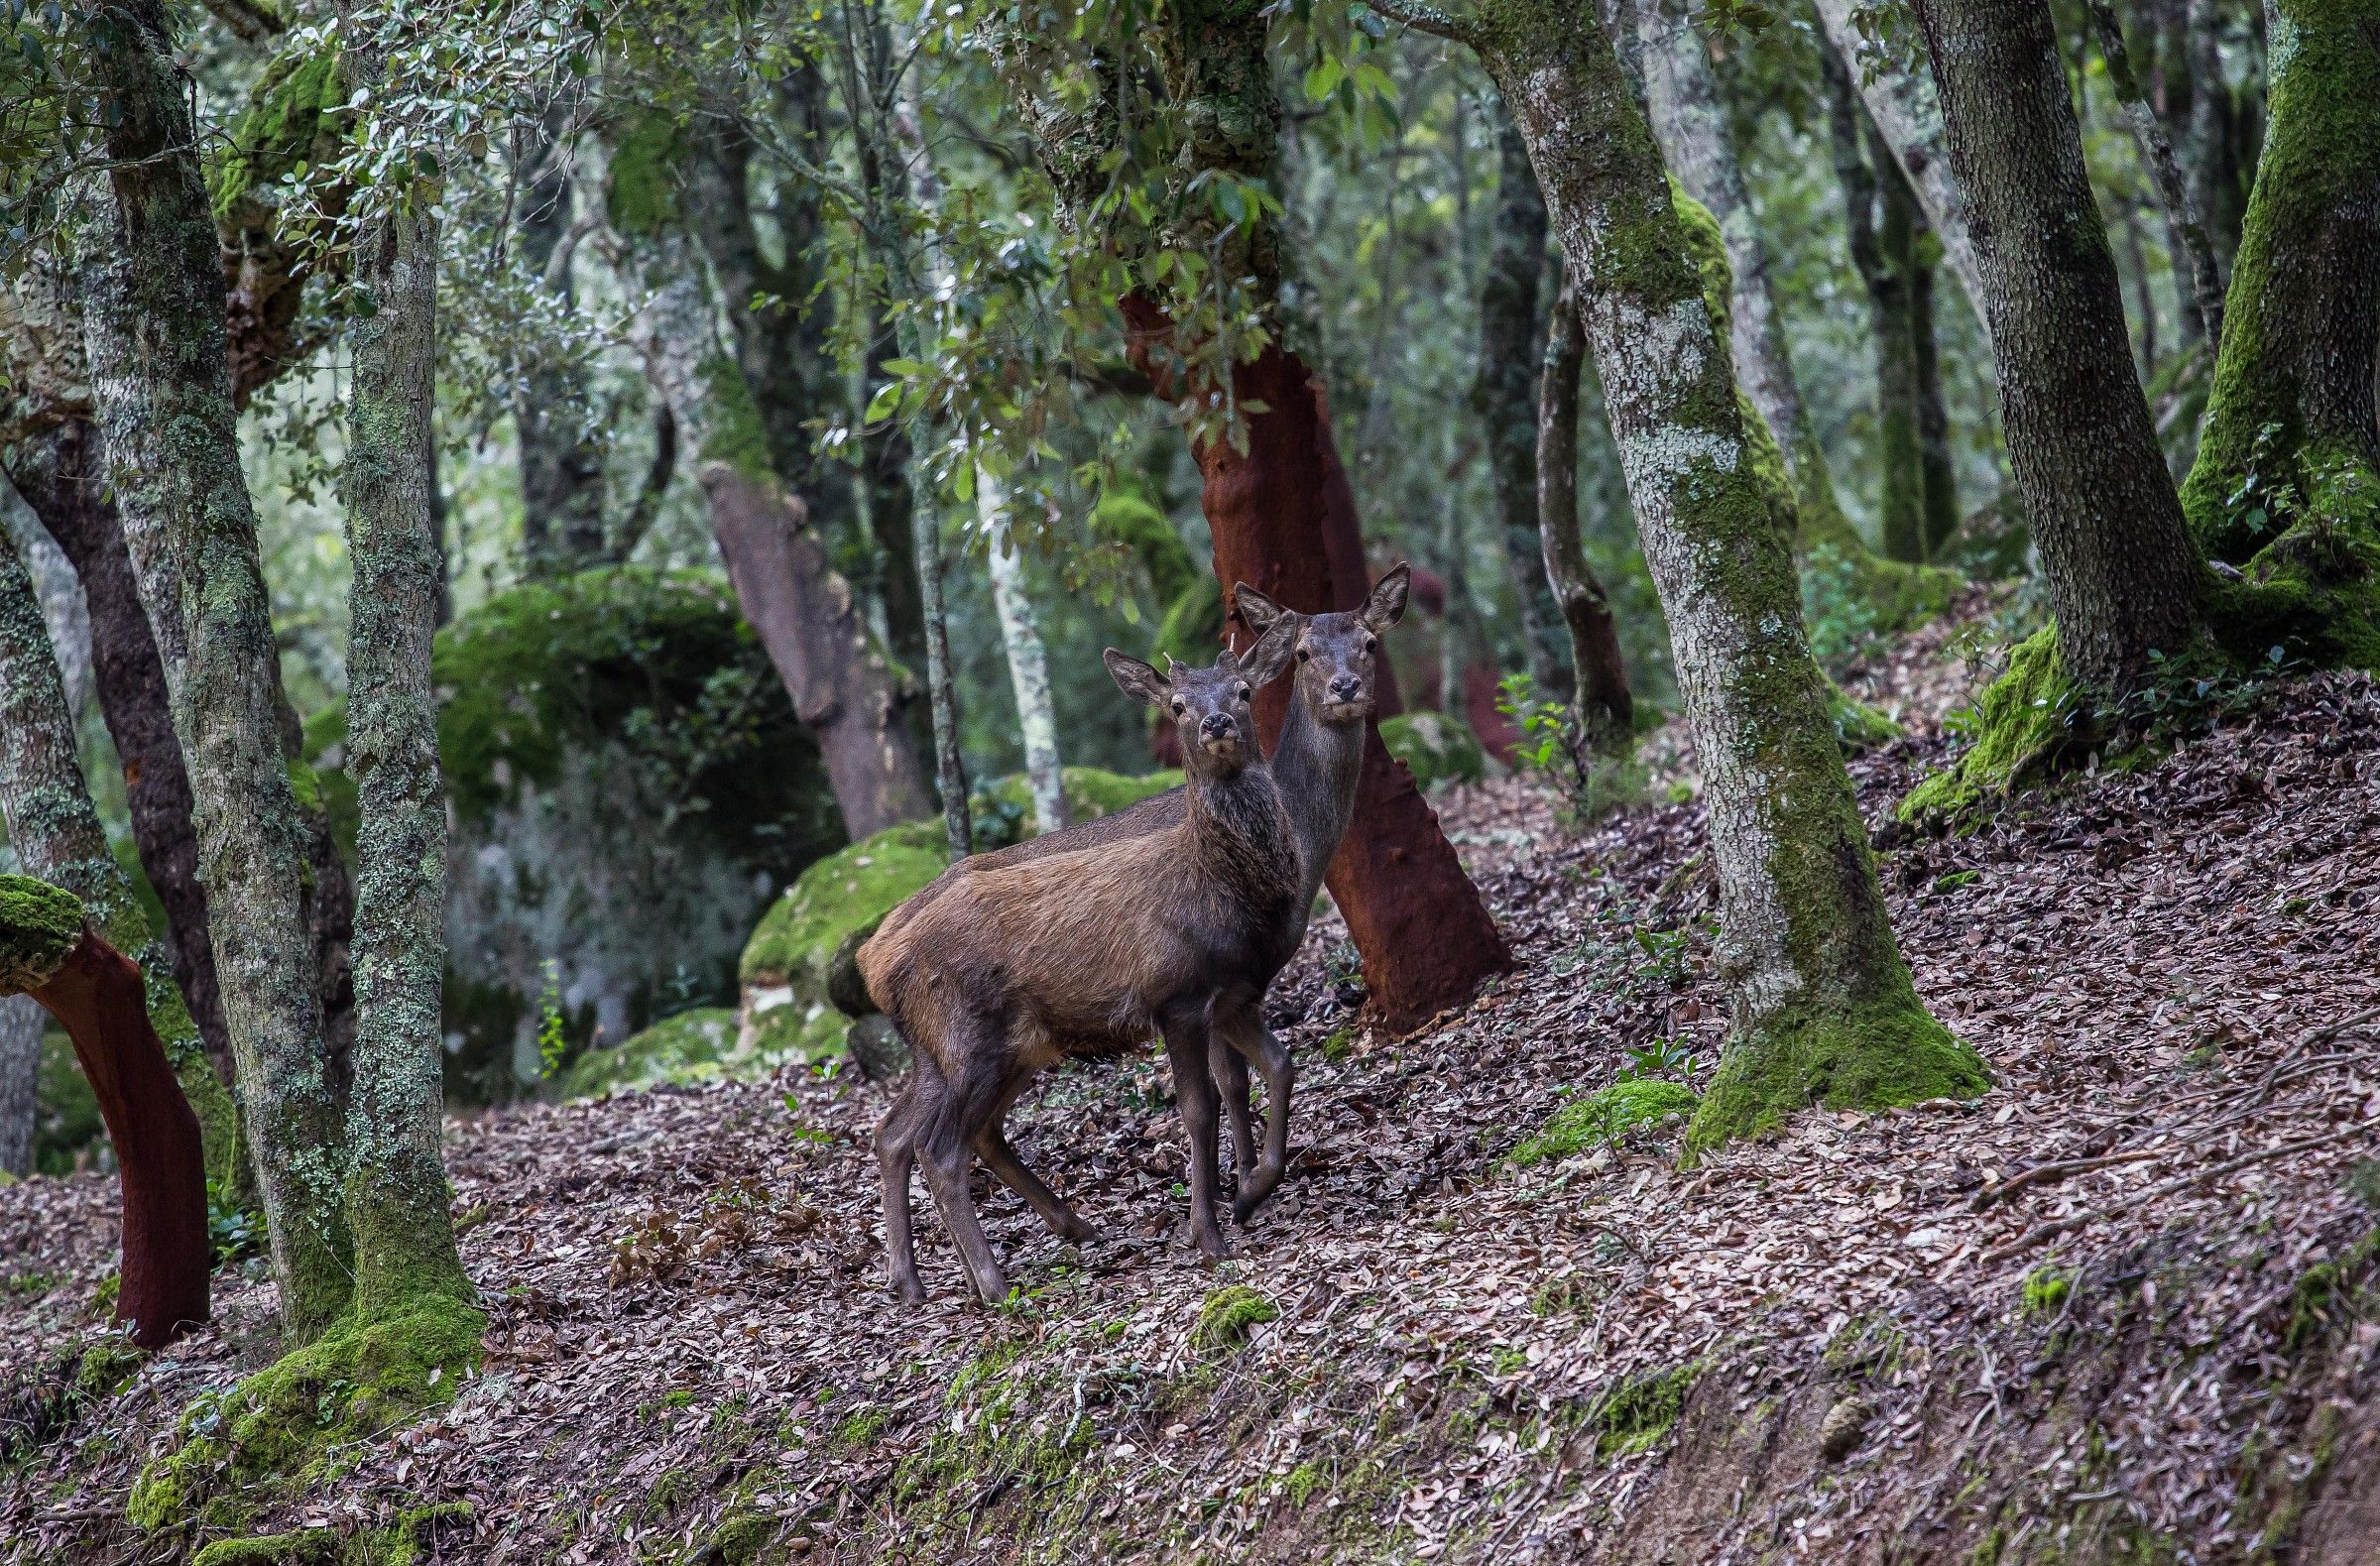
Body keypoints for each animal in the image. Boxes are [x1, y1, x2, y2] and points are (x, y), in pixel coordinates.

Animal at [860, 621, 1304, 1303]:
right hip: (968, 1037)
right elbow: (1197, 1109)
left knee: (904, 1133)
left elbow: (1279, 1066)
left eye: (1245, 690)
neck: (1222, 895)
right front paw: (1208, 1237)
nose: (1217, 723)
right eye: (1177, 705)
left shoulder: (1234, 995)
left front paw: (1253, 1191)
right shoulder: (1175, 995)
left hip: (972, 1049)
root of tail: (871, 961)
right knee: (940, 1147)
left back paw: (923, 1278)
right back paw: (992, 1282)